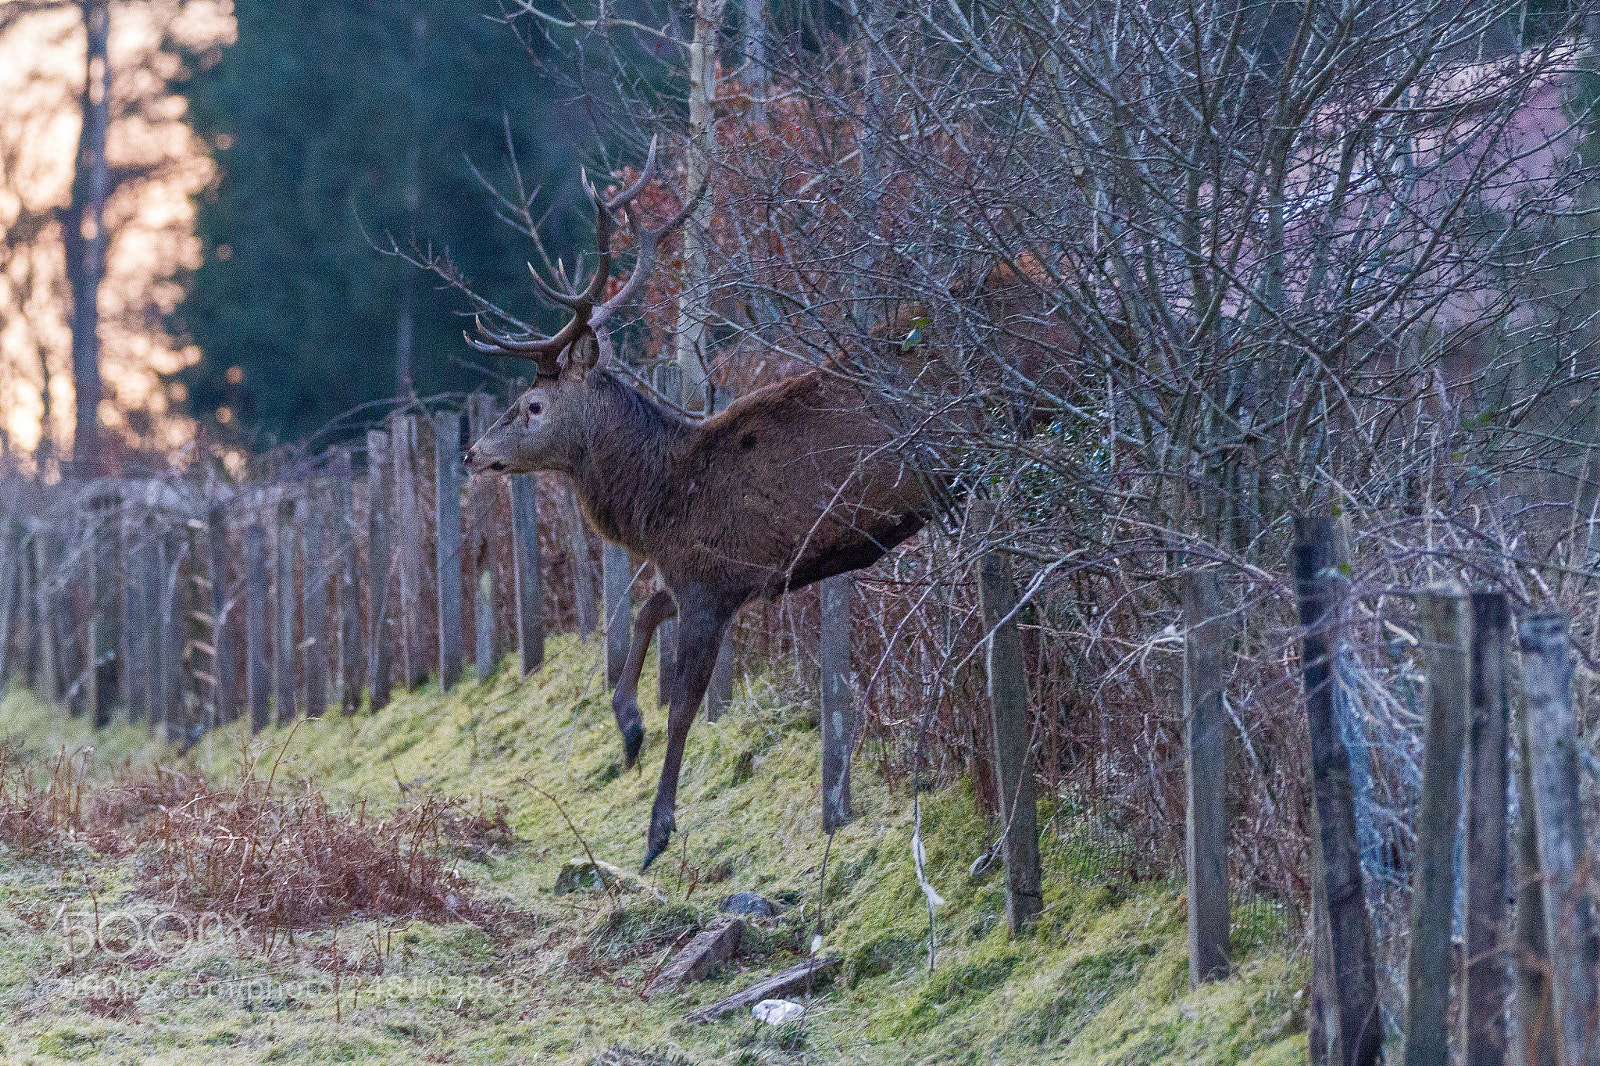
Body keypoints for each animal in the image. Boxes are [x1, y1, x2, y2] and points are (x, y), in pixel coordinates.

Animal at [460, 145, 1074, 870]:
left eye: (532, 405)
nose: (472, 453)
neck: (662, 502)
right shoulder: (709, 577)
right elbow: (645, 611)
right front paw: (628, 728)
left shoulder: (712, 580)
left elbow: (685, 704)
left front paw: (656, 831)